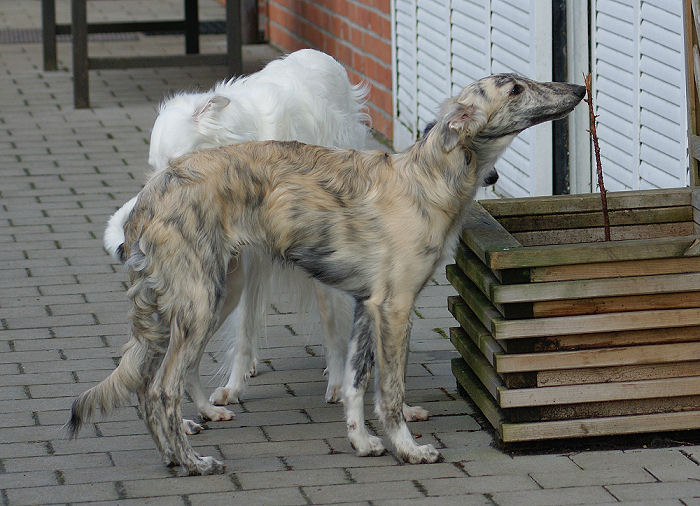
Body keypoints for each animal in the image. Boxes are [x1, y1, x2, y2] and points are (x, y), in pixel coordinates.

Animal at [105, 50, 432, 430]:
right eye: (153, 164)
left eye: (176, 162)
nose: (155, 202)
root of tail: (318, 54)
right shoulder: (246, 259)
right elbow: (245, 325)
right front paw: (233, 386)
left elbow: (330, 318)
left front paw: (337, 382)